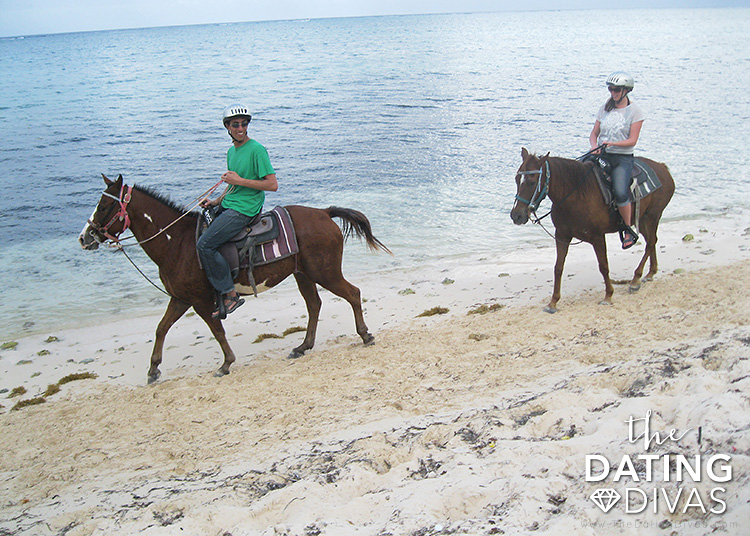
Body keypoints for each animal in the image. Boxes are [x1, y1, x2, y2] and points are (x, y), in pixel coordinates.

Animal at [78, 175, 390, 382]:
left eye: (103, 206)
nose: (84, 237)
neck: (177, 243)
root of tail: (325, 213)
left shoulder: (201, 301)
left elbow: (217, 331)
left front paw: (226, 363)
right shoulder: (180, 298)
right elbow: (161, 328)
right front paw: (154, 368)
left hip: (325, 272)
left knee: (352, 293)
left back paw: (365, 335)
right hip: (303, 274)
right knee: (314, 305)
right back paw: (303, 347)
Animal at [512, 148, 676, 314]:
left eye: (532, 182)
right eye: (516, 179)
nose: (516, 215)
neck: (576, 195)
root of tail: (662, 168)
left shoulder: (597, 237)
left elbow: (603, 266)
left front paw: (608, 295)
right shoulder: (562, 236)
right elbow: (558, 268)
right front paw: (553, 302)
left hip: (652, 216)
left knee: (651, 242)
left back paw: (636, 280)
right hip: (643, 220)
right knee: (652, 241)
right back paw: (650, 273)